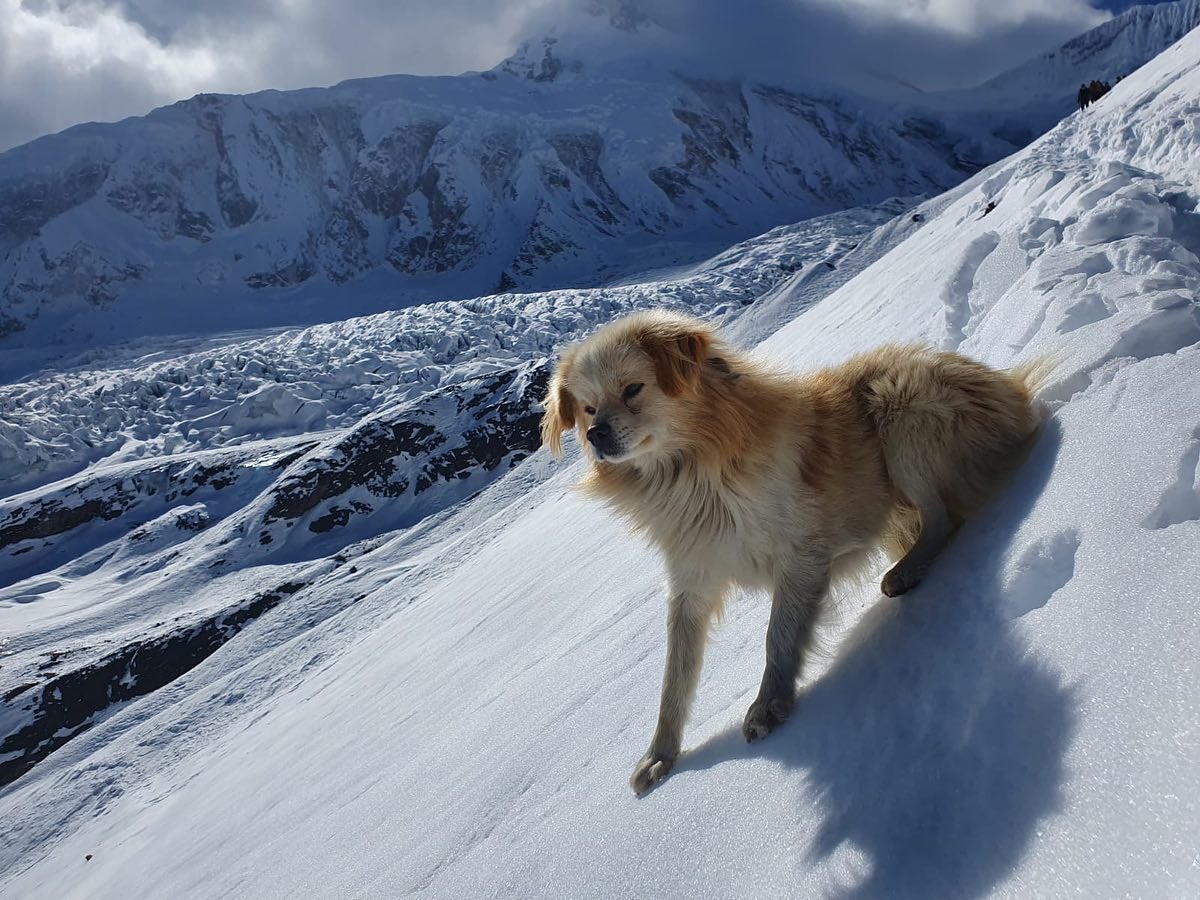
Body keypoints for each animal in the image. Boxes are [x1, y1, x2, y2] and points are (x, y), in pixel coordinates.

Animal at [540, 309, 1046, 796]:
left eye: (632, 389)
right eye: (588, 408)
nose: (596, 435)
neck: (689, 477)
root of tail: (1010, 388)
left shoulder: (801, 557)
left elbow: (778, 636)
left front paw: (769, 704)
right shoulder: (691, 583)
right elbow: (674, 678)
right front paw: (660, 755)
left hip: (899, 409)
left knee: (943, 518)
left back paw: (907, 569)